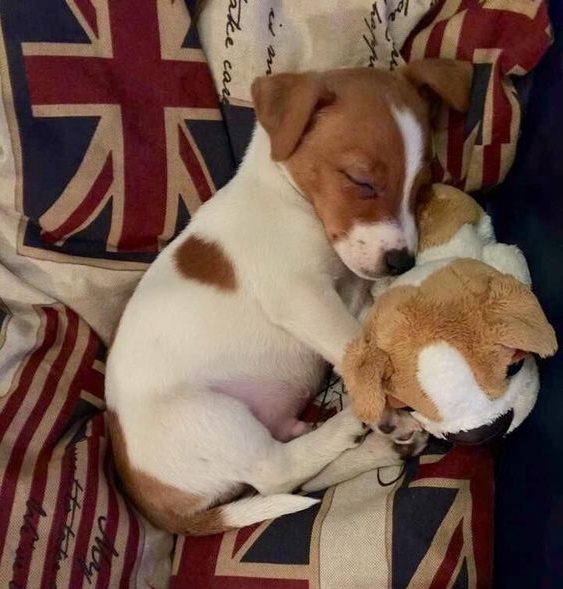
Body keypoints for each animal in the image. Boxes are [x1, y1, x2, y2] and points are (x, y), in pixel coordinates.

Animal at [104, 62, 472, 536]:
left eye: (422, 187)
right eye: (361, 182)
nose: (402, 262)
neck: (285, 198)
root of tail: (153, 506)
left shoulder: (347, 291)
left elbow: (367, 324)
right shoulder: (299, 294)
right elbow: (356, 346)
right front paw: (379, 395)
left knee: (295, 480)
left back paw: (382, 448)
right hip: (213, 417)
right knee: (277, 472)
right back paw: (352, 423)